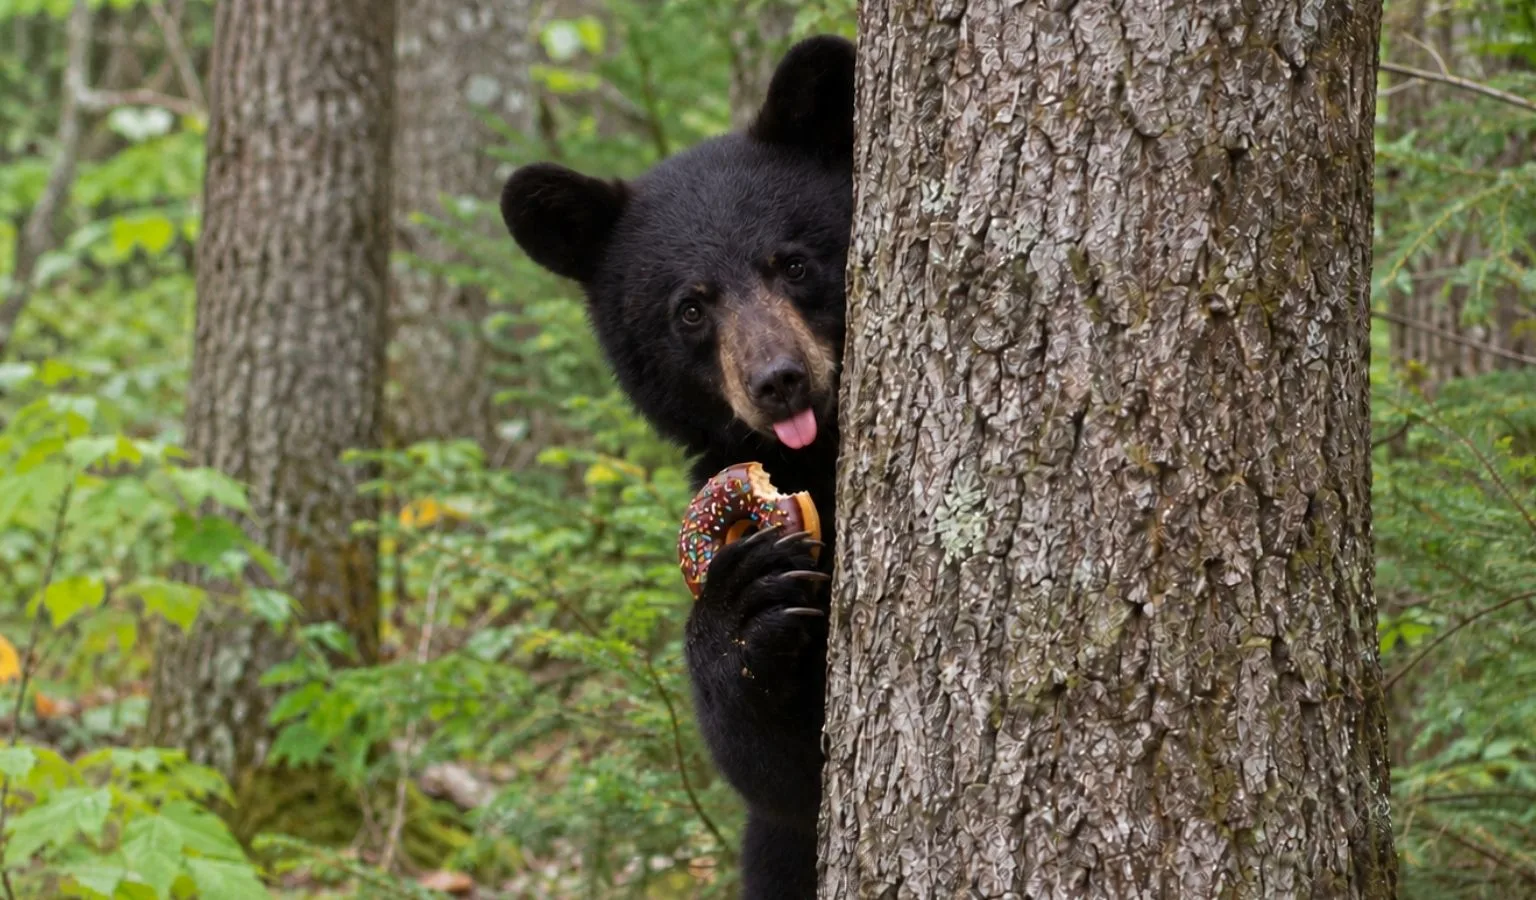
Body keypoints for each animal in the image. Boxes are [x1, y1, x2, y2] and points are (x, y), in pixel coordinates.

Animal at [498, 35, 856, 899]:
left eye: (792, 263)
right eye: (691, 308)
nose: (778, 380)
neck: (815, 452)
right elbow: (781, 777)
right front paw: (744, 603)